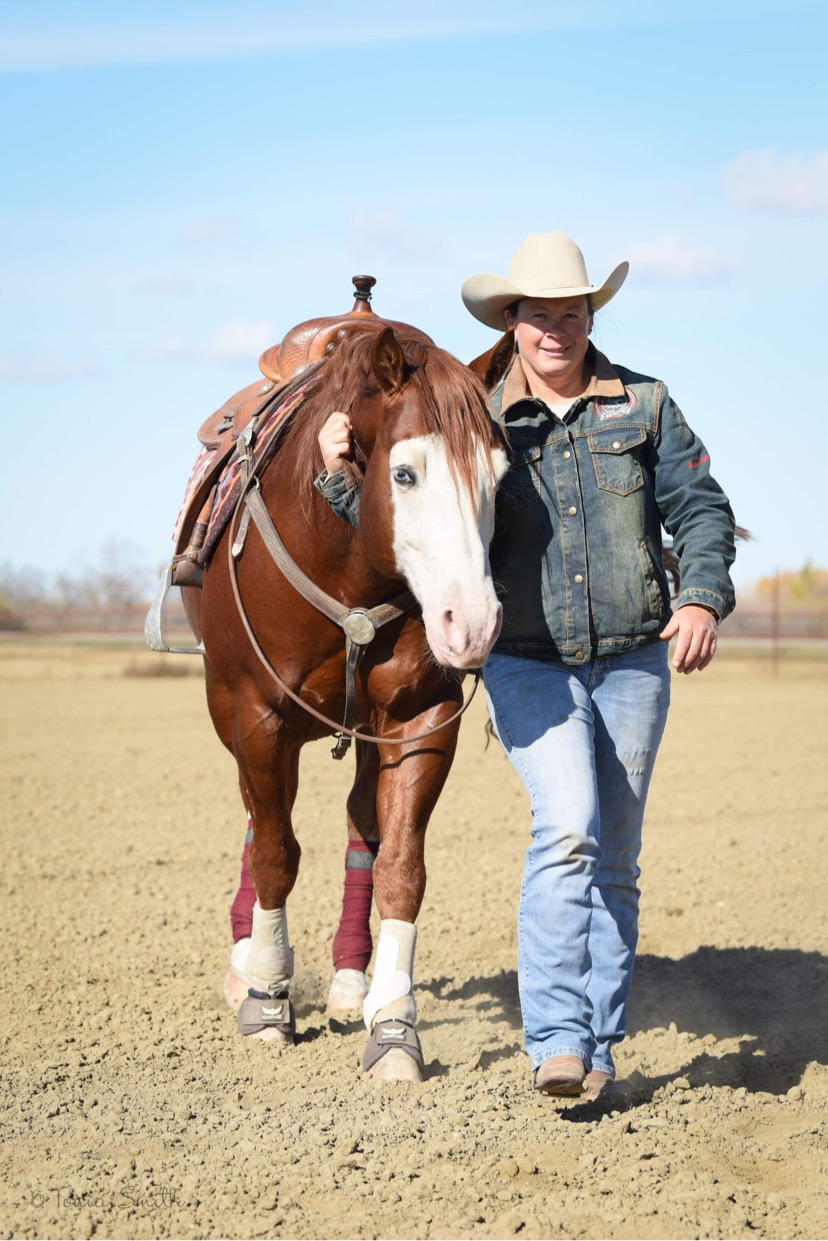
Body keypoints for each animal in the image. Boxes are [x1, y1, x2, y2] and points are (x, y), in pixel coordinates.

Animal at [181, 317, 508, 1077]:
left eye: (500, 476)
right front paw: (267, 998)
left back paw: (352, 981)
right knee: (259, 819)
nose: (472, 624)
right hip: (236, 717)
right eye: (405, 472)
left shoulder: (422, 719)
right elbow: (275, 852)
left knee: (362, 823)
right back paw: (247, 965)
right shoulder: (258, 717)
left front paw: (392, 1025)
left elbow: (400, 867)